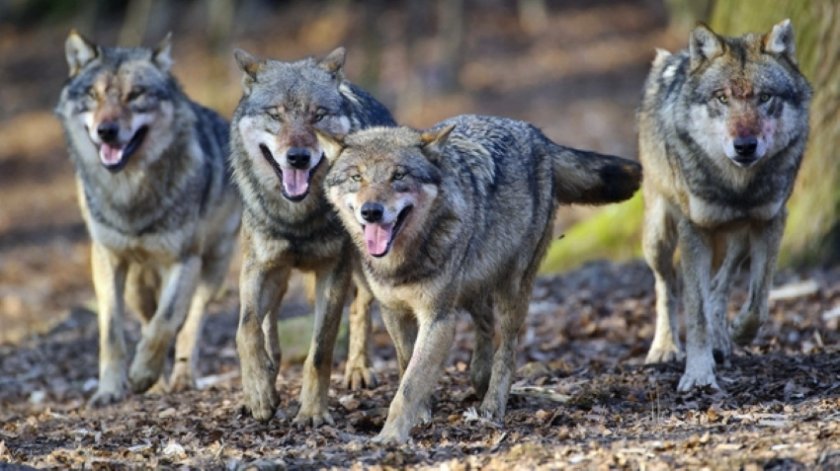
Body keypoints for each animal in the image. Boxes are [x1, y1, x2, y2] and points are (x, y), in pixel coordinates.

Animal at [54, 30, 241, 406]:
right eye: (93, 95)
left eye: (135, 94)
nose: (106, 131)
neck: (130, 194)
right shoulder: (107, 259)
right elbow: (112, 333)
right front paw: (110, 390)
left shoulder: (184, 261)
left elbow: (166, 322)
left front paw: (141, 374)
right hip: (137, 285)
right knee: (146, 317)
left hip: (212, 268)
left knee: (190, 321)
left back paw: (181, 377)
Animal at [228, 46, 396, 426]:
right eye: (275, 114)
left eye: (317, 115)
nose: (298, 157)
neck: (298, 219)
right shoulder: (258, 266)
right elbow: (246, 329)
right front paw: (258, 394)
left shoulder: (333, 272)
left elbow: (320, 350)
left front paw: (312, 412)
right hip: (278, 277)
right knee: (269, 327)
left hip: (364, 264)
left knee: (361, 308)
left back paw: (358, 369)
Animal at [318, 113, 640, 442]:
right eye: (356, 177)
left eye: (399, 176)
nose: (371, 211)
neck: (403, 262)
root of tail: (536, 135)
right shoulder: (393, 311)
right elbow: (407, 365)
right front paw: (420, 414)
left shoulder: (438, 318)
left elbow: (408, 386)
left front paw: (391, 437)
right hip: (476, 285)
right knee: (484, 324)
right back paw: (479, 377)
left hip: (512, 290)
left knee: (507, 349)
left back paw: (492, 406)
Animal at [640, 19, 812, 390]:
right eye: (722, 98)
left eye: (764, 97)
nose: (745, 145)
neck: (737, 186)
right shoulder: (695, 230)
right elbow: (695, 310)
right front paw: (698, 373)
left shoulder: (771, 221)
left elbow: (758, 302)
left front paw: (737, 334)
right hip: (658, 235)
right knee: (667, 285)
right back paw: (665, 347)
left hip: (739, 239)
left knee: (720, 285)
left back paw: (722, 339)